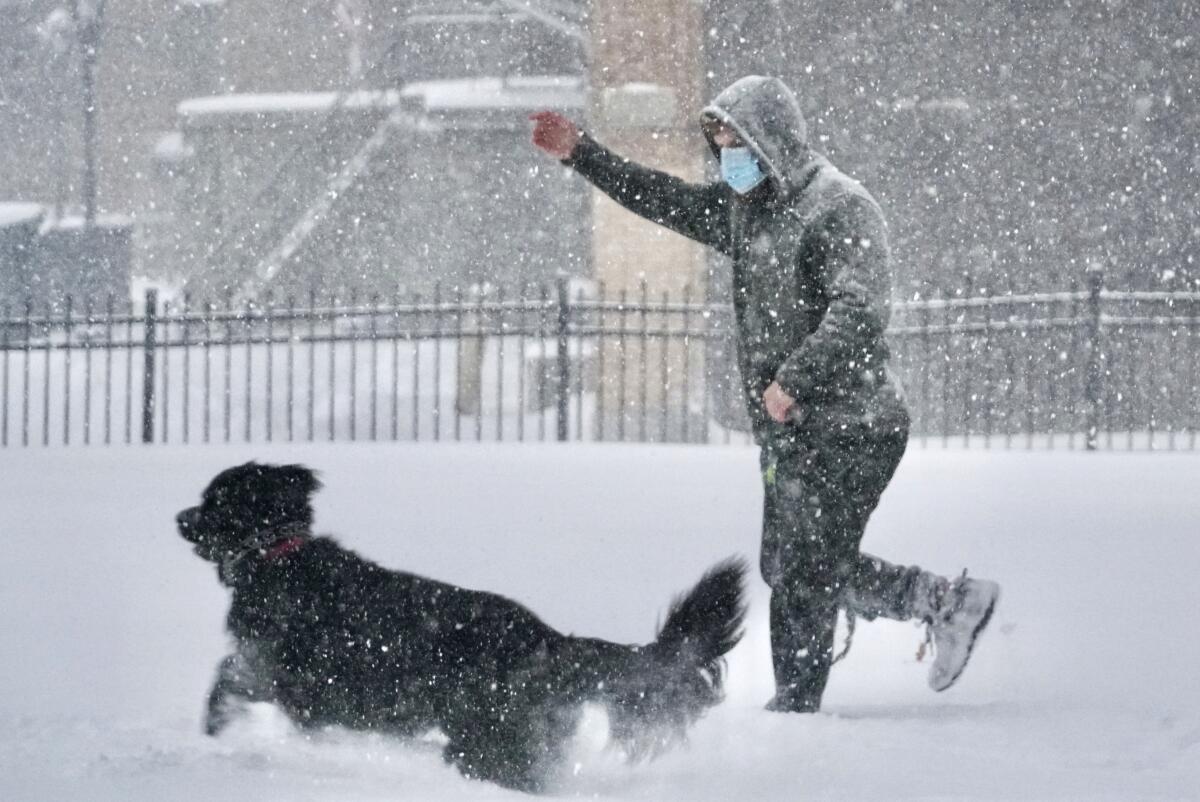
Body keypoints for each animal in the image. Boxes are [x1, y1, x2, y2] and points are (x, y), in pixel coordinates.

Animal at [174, 461, 744, 792]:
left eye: (213, 501)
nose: (179, 518)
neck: (279, 557)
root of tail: (549, 641)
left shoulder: (300, 683)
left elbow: (230, 679)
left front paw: (216, 726)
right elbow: (232, 677)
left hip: (483, 734)